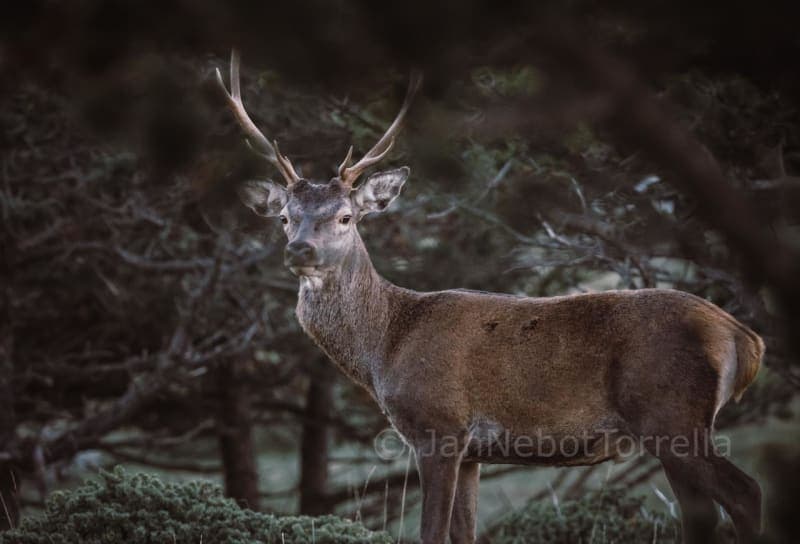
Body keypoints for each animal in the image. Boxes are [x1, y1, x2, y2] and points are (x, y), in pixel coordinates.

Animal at [216, 51, 764, 544]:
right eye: (284, 217)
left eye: (346, 217)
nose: (300, 250)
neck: (385, 346)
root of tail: (744, 338)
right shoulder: (475, 453)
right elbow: (465, 532)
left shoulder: (439, 427)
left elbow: (431, 533)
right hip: (674, 425)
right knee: (702, 515)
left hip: (671, 412)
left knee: (747, 492)